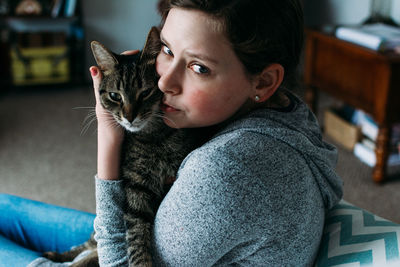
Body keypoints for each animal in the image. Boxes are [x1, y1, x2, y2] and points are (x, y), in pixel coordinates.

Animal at [44, 27, 206, 267]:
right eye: (115, 96)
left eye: (146, 92)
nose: (129, 117)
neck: (154, 136)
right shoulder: (136, 188)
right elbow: (136, 235)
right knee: (90, 244)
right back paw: (57, 256)